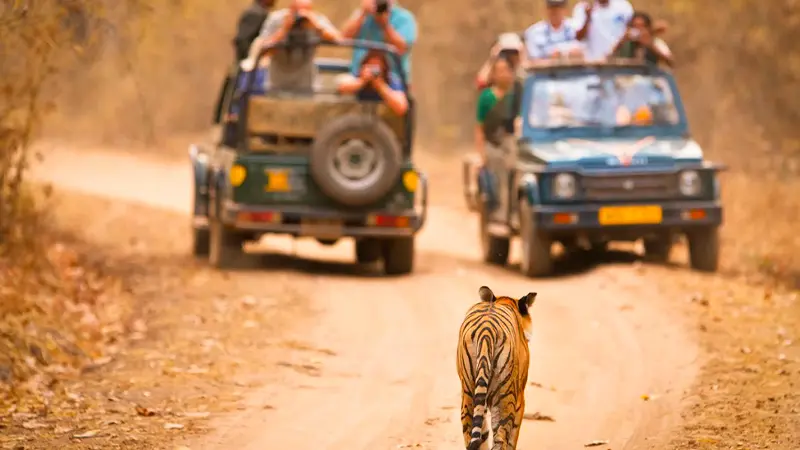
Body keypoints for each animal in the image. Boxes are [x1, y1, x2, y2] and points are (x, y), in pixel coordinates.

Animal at [457, 285, 536, 450]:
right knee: (500, 438)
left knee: (470, 433)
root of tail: (486, 330)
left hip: (468, 392)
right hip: (505, 395)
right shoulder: (520, 398)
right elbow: (513, 437)